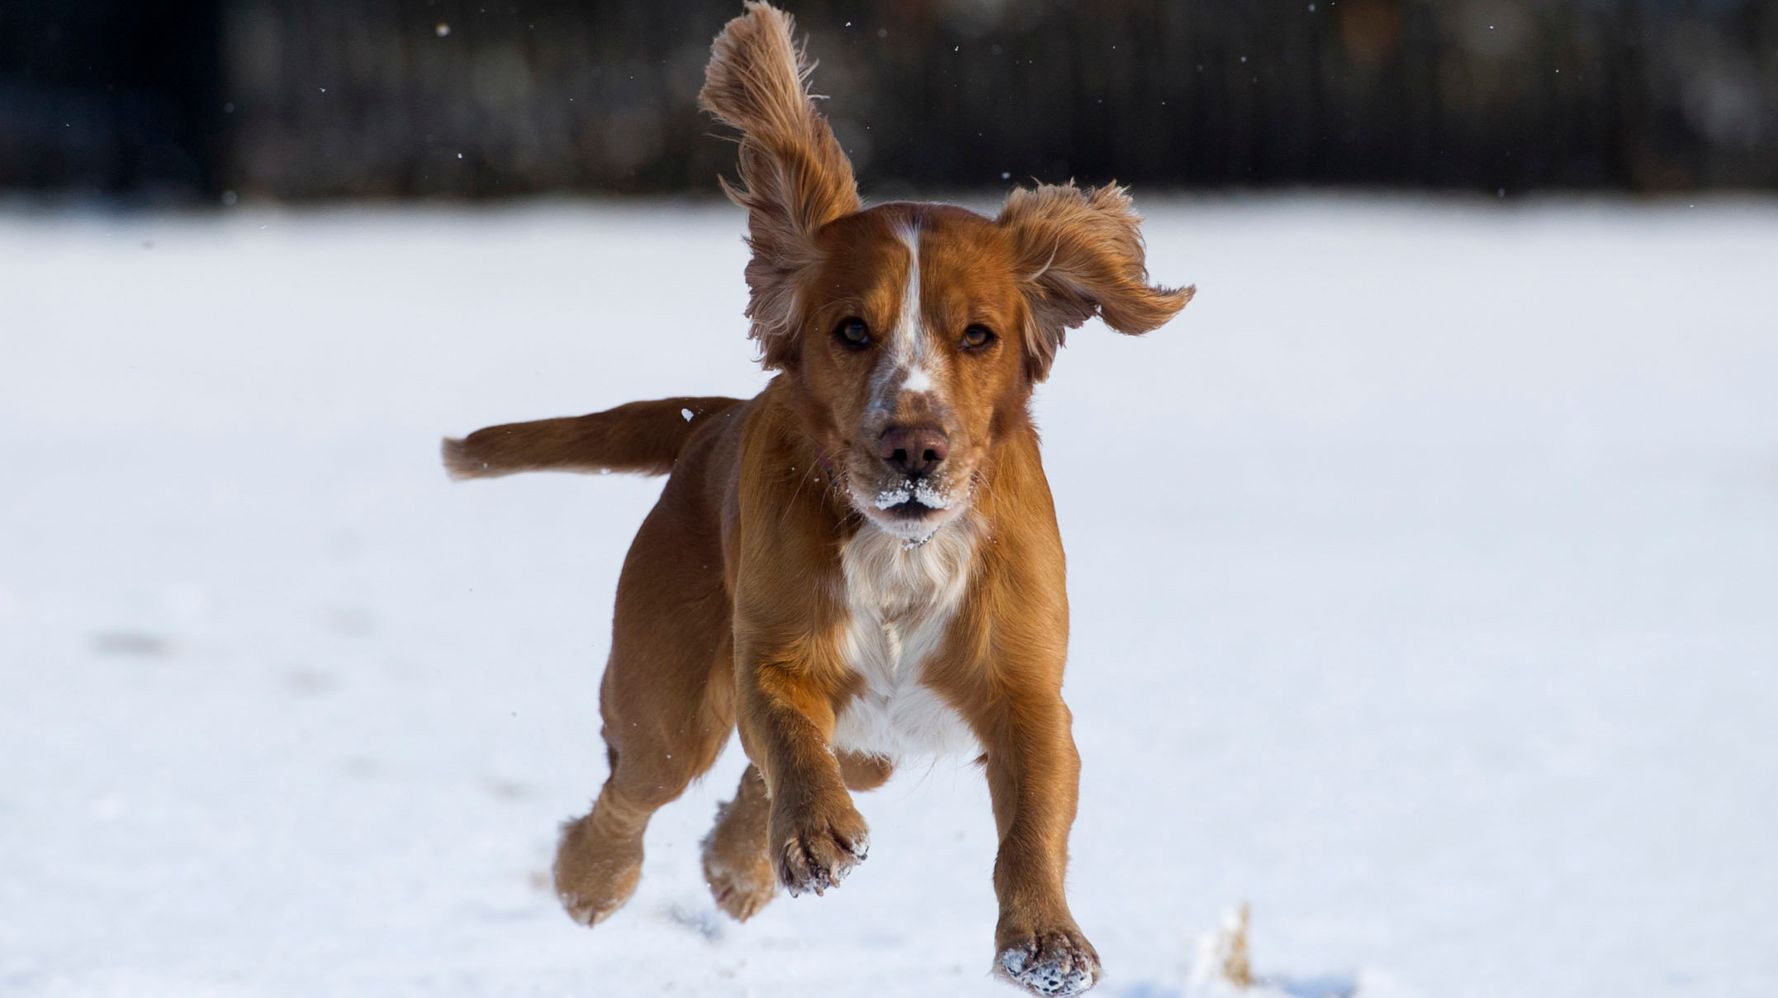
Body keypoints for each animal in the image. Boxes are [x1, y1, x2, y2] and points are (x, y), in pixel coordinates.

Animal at [444, 5, 1194, 989]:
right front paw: (811, 838)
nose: (913, 447)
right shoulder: (773, 653)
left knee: (749, 785)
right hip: (669, 697)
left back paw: (736, 867)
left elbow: (1033, 815)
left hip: (872, 743)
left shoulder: (1027, 687)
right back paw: (597, 880)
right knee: (638, 786)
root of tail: (712, 421)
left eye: (979, 335)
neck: (903, 551)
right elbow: (789, 739)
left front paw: (1045, 940)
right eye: (850, 331)